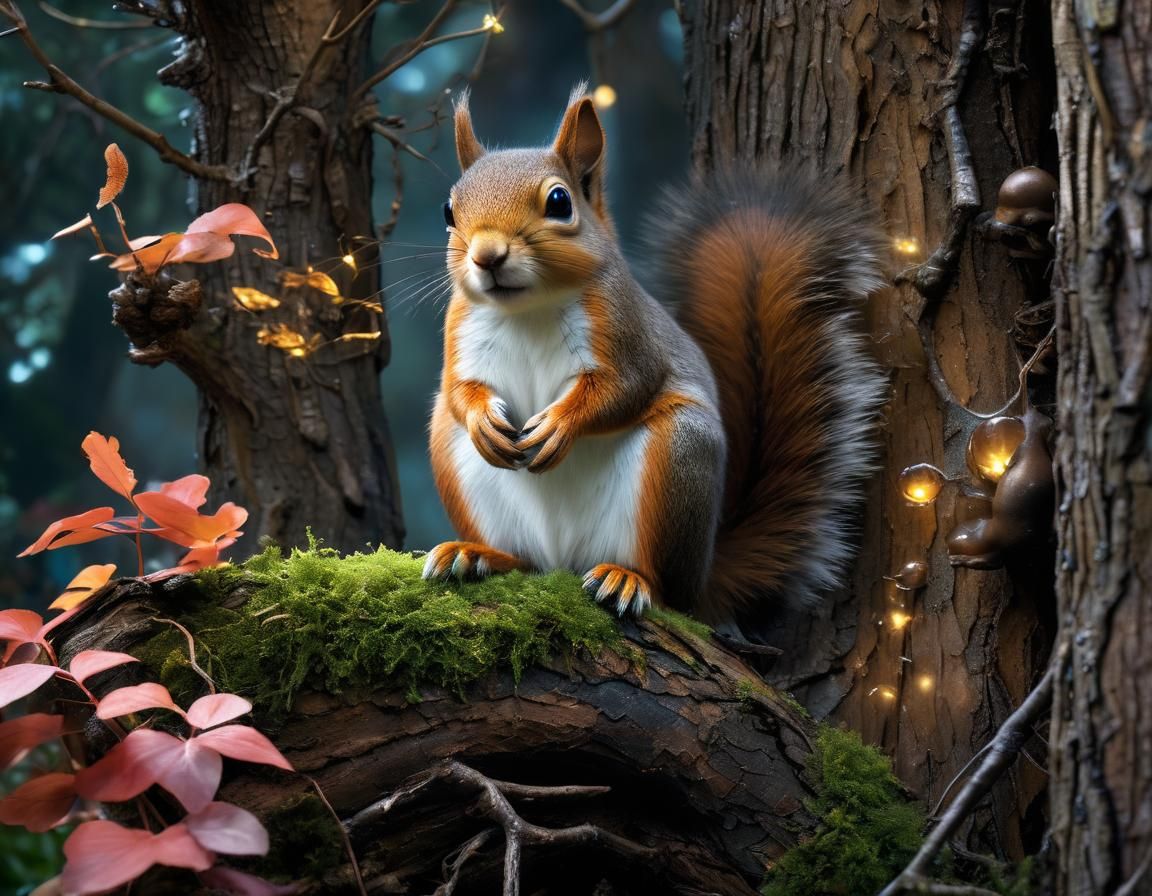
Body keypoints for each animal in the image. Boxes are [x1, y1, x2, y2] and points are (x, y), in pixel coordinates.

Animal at [422, 86, 887, 631]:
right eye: (448, 211)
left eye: (559, 202)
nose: (487, 256)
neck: (527, 309)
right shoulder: (460, 333)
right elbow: (458, 390)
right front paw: (481, 420)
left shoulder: (628, 334)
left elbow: (624, 388)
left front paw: (560, 424)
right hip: (458, 462)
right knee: (525, 558)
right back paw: (478, 555)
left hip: (679, 454)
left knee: (667, 591)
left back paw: (629, 580)